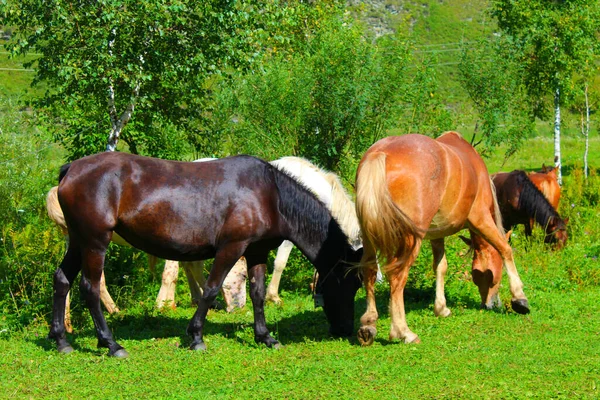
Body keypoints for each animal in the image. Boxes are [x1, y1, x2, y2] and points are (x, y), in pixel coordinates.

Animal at [49, 152, 360, 356]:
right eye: (351, 283)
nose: (346, 329)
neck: (270, 193)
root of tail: (71, 169)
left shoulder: (257, 252)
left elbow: (258, 293)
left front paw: (264, 336)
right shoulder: (232, 247)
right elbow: (211, 288)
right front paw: (196, 336)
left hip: (78, 241)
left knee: (62, 280)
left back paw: (61, 340)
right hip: (94, 242)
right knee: (90, 287)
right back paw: (111, 344)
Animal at [354, 133, 528, 346]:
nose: (491, 304)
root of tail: (380, 153)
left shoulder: (436, 235)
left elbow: (440, 266)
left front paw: (441, 308)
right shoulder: (480, 219)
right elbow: (505, 249)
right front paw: (519, 298)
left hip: (369, 237)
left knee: (369, 271)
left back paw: (368, 326)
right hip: (411, 241)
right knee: (397, 277)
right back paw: (403, 332)